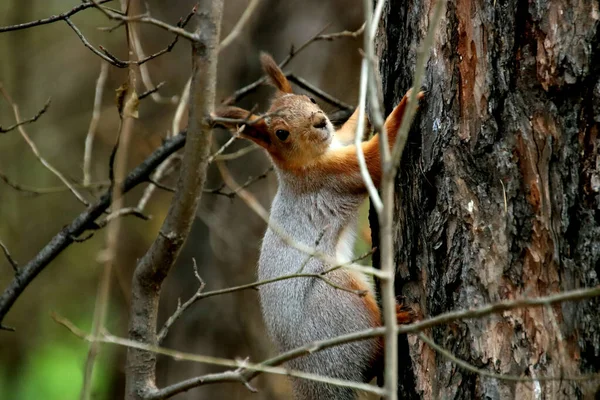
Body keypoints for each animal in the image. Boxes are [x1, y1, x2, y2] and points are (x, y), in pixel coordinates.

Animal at [214, 54, 422, 400]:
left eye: (309, 99)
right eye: (281, 133)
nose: (319, 121)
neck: (303, 165)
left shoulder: (340, 142)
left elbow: (352, 129)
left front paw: (365, 95)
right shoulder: (335, 174)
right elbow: (375, 159)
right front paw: (405, 106)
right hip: (339, 297)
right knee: (373, 349)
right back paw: (396, 320)